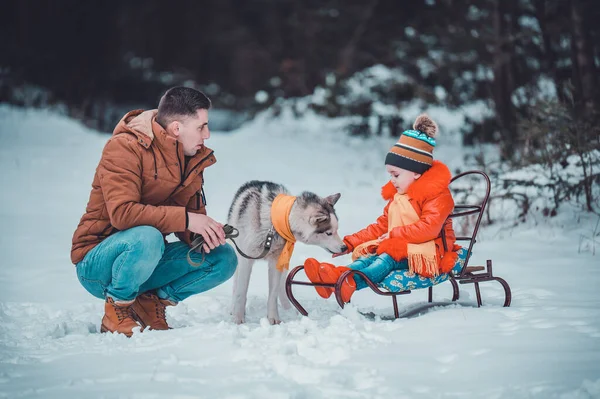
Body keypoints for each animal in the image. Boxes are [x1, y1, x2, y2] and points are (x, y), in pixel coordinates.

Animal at [227, 181, 344, 324]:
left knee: (281, 287)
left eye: (336, 230)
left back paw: (288, 308)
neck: (274, 224)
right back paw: (233, 308)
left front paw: (273, 318)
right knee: (236, 284)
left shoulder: (276, 261)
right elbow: (241, 291)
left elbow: (273, 294)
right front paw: (238, 318)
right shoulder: (246, 260)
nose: (344, 247)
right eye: (329, 233)